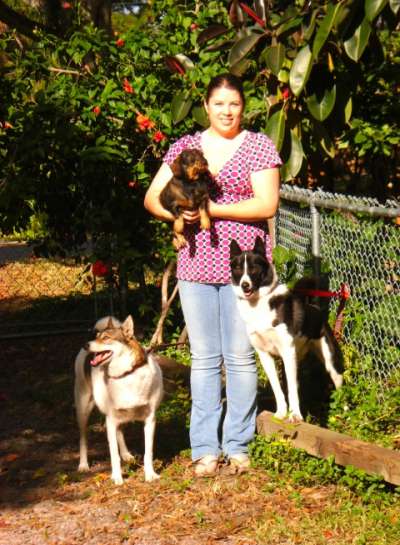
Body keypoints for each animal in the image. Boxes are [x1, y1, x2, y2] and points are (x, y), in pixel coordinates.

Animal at [74, 315, 163, 484]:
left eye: (106, 338)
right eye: (97, 337)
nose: (85, 344)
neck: (127, 374)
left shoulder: (150, 420)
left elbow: (148, 452)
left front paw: (150, 474)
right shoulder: (110, 420)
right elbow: (113, 455)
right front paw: (117, 477)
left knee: (120, 433)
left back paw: (126, 454)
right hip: (83, 410)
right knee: (83, 439)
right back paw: (83, 464)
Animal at [230, 237, 343, 422]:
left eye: (254, 268)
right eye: (238, 268)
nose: (245, 285)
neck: (258, 304)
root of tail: (315, 308)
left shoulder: (287, 351)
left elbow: (290, 390)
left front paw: (295, 415)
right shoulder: (265, 356)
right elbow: (278, 388)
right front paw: (281, 412)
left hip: (329, 360)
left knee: (338, 381)